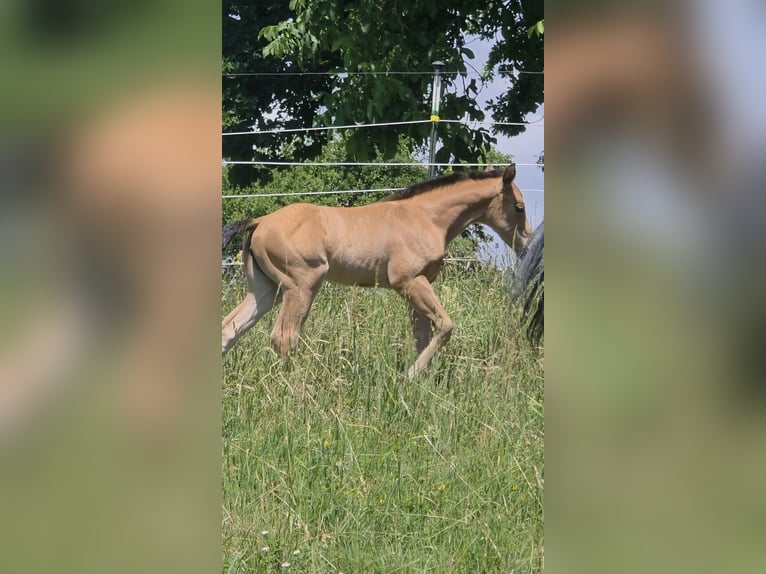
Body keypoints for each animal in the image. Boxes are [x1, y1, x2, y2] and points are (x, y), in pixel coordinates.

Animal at [221, 164, 533, 377]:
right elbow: (445, 326)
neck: (426, 218)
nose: (527, 244)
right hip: (301, 286)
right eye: (519, 206)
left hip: (266, 289)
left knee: (229, 328)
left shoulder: (419, 285)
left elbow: (422, 336)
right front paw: (411, 375)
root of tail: (260, 221)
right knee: (284, 337)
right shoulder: (409, 282)